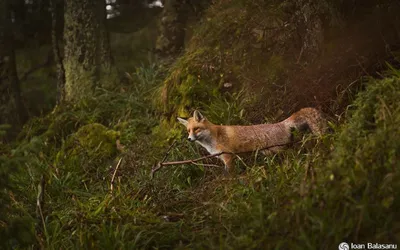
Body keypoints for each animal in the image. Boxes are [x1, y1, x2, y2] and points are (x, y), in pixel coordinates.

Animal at [177, 107, 326, 174]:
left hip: (276, 151)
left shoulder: (228, 157)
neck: (213, 139)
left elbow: (230, 175)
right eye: (188, 131)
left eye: (196, 129)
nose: (189, 139)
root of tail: (281, 123)